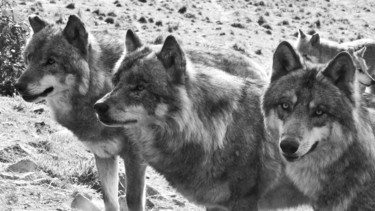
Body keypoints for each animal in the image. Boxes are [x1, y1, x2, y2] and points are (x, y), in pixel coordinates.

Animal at [13, 14, 146, 211]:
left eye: (51, 61)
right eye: (29, 58)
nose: (18, 86)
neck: (99, 89)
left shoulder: (135, 160)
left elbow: (132, 201)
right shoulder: (103, 155)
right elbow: (110, 201)